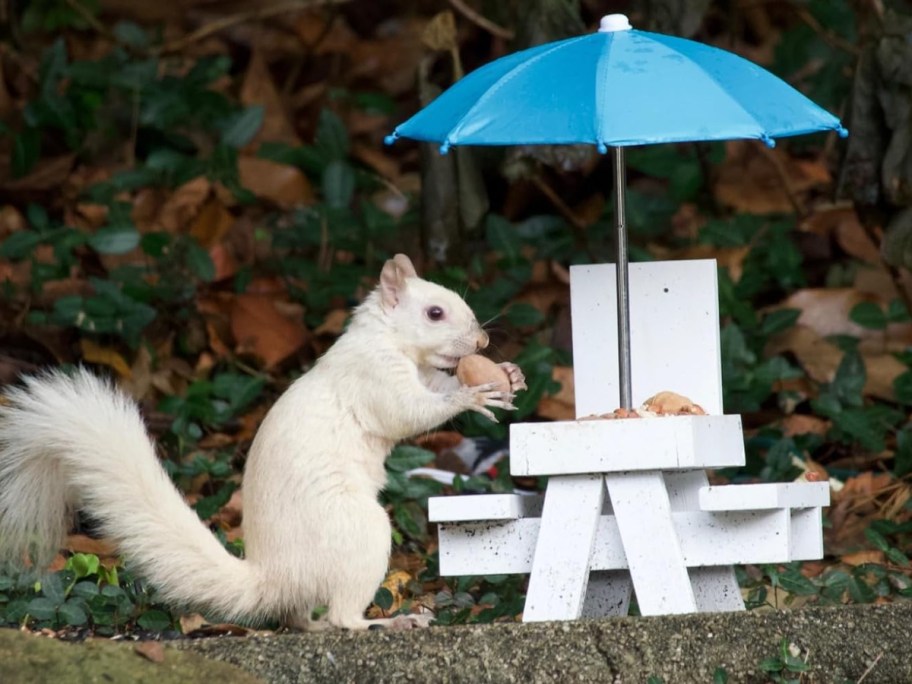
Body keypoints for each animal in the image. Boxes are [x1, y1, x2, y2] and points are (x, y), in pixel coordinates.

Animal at [0, 256, 528, 632]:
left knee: (302, 617)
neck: (386, 338)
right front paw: (472, 395)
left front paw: (509, 375)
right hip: (359, 532)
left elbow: (430, 391)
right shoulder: (374, 376)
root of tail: (276, 577)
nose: (482, 343)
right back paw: (389, 622)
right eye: (435, 312)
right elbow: (409, 412)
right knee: (341, 615)